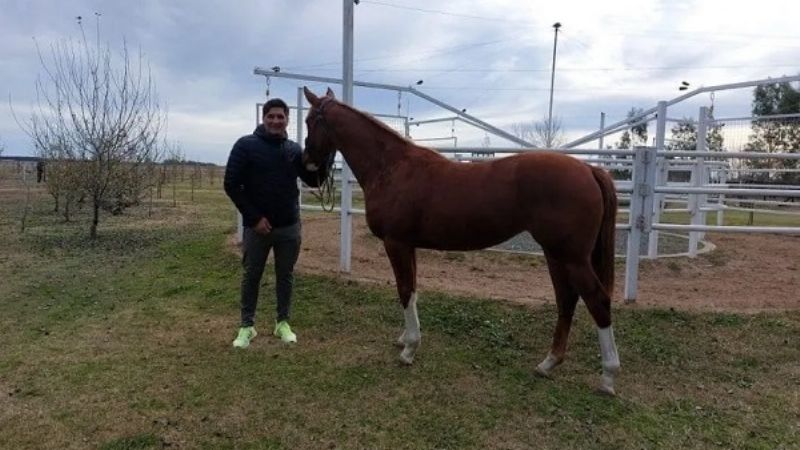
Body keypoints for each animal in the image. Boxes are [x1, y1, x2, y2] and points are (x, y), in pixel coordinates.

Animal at [301, 87, 621, 395]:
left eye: (308, 121)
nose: (308, 169)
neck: (392, 167)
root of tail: (590, 170)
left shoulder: (396, 243)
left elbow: (404, 291)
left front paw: (409, 349)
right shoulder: (409, 245)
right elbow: (412, 290)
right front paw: (405, 338)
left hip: (572, 257)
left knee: (598, 301)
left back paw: (608, 377)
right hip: (555, 254)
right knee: (566, 300)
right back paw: (549, 363)